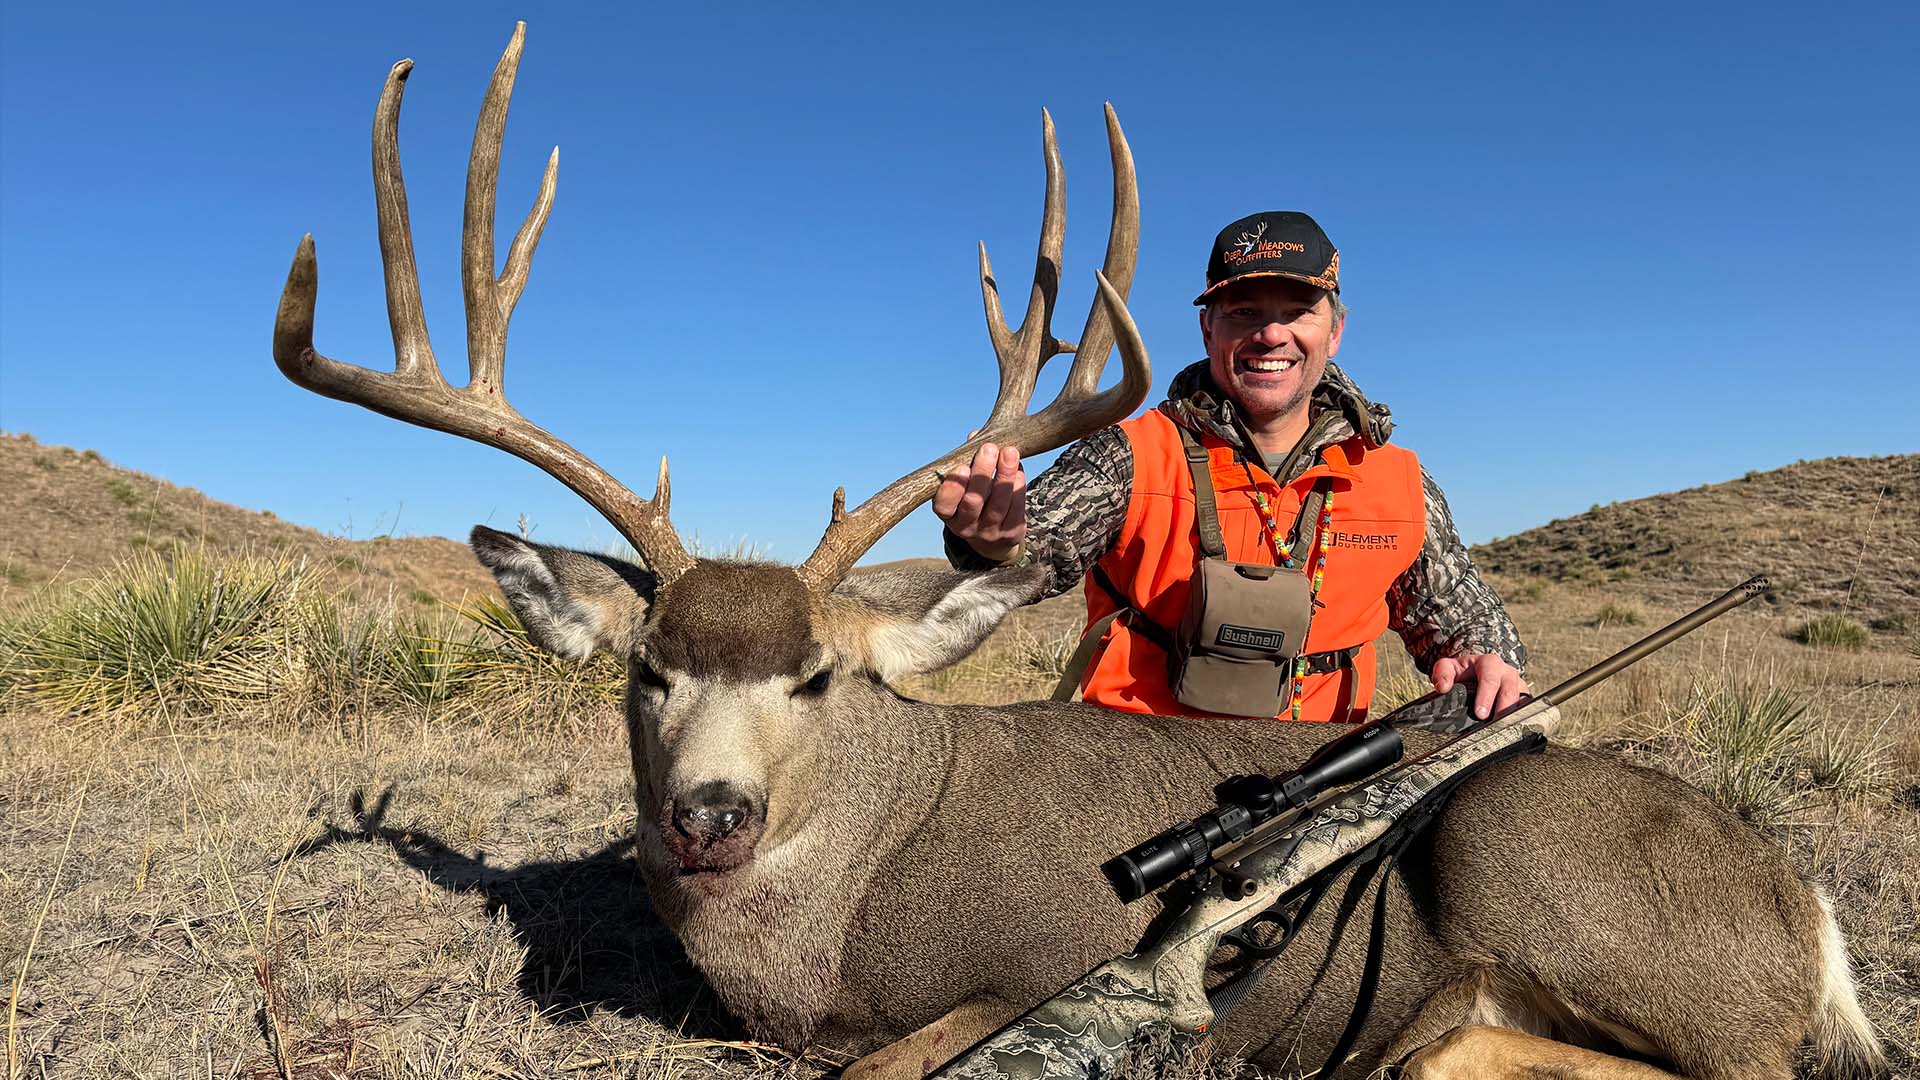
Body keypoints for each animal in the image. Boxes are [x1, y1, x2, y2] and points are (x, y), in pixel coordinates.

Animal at [270, 24, 1886, 1080]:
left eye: (816, 679)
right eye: (648, 671)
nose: (710, 817)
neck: (828, 928)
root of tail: (1806, 910)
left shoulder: (1029, 969)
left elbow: (895, 1064)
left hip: (1528, 855)